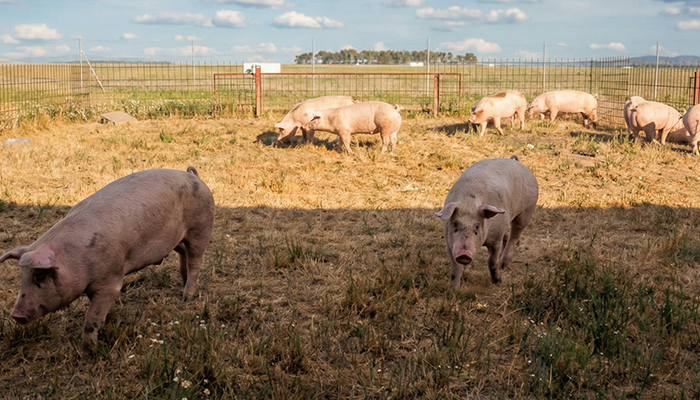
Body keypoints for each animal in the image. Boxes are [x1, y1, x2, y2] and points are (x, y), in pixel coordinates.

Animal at [0, 167, 215, 353]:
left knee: (195, 260)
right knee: (183, 253)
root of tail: (194, 176)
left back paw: (187, 297)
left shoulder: (110, 280)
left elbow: (92, 318)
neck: (74, 258)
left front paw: (86, 353)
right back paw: (183, 282)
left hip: (200, 227)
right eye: (22, 277)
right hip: (176, 238)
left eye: (40, 277)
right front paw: (107, 321)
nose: (15, 314)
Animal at [435, 155, 538, 289]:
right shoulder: (449, 243)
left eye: (477, 226)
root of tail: (516, 162)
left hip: (527, 211)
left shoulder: (496, 239)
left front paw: (497, 281)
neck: (469, 203)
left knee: (514, 236)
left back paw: (503, 264)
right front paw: (453, 290)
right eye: (455, 224)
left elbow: (492, 261)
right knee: (507, 236)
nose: (464, 254)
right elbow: (456, 268)